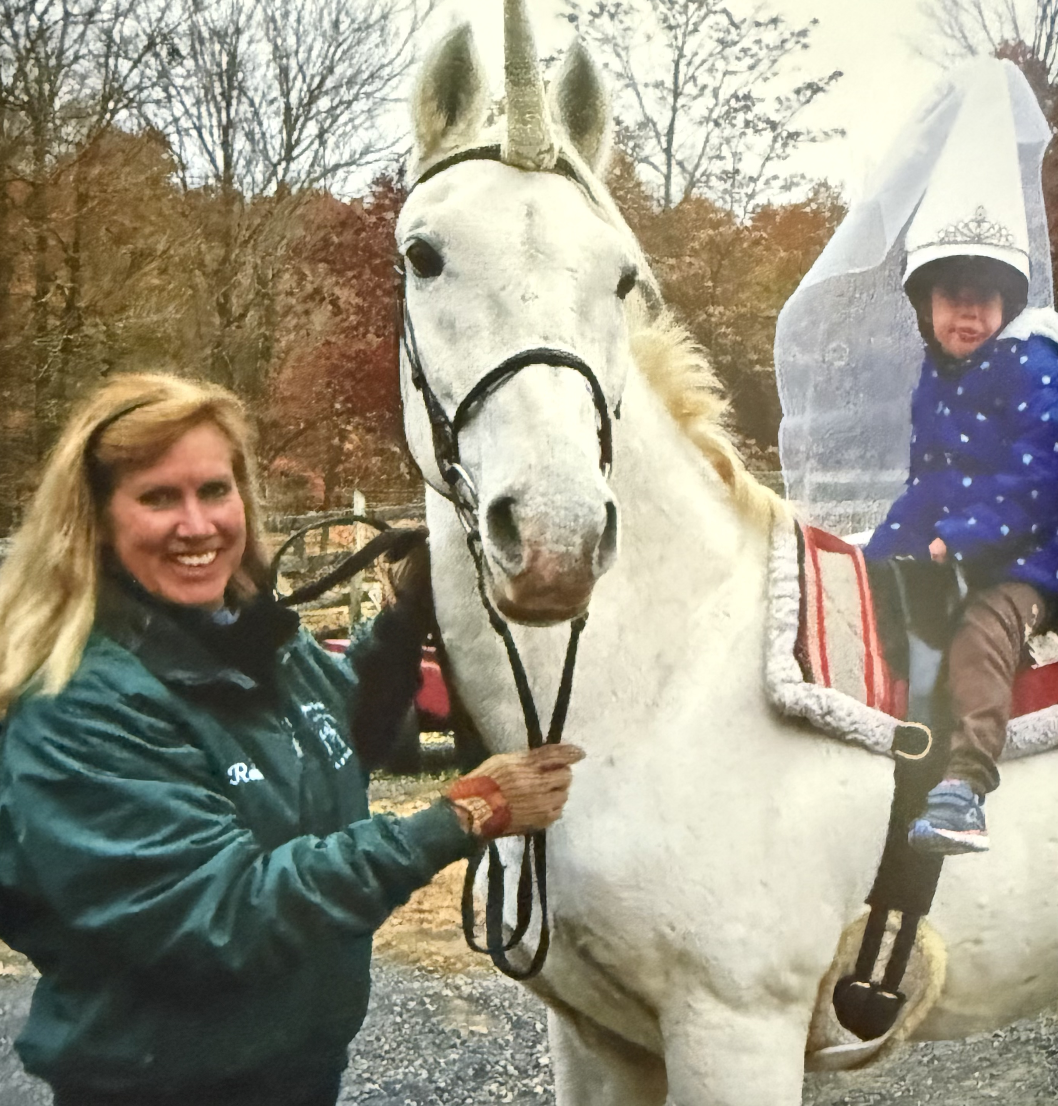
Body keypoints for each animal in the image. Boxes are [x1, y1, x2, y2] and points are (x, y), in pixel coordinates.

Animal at [396, 4, 1058, 1103]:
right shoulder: (594, 1039)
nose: (555, 537)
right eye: (423, 253)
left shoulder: (736, 1030)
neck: (668, 685)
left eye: (621, 275)